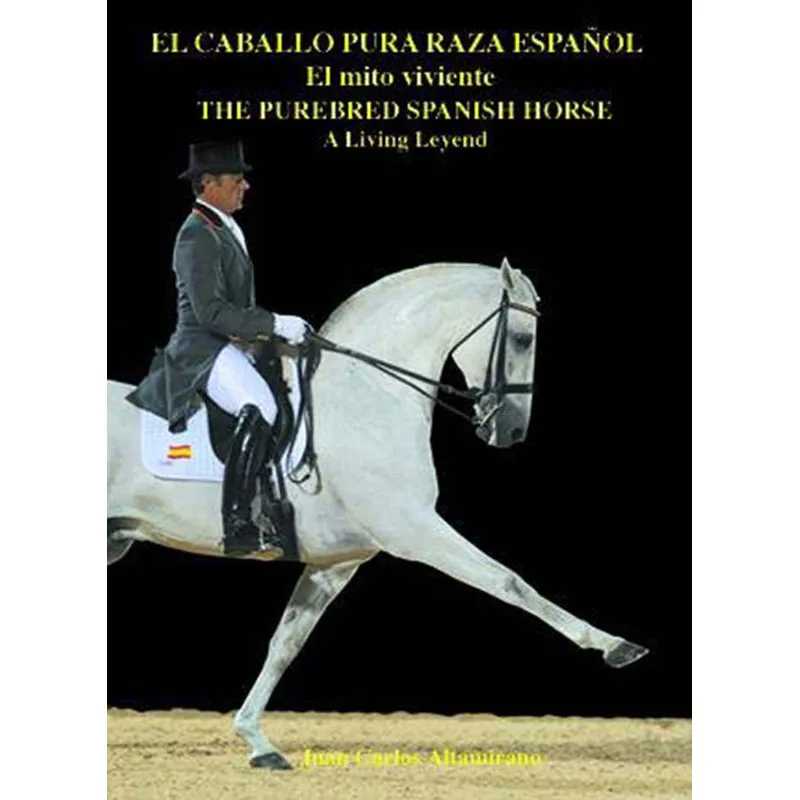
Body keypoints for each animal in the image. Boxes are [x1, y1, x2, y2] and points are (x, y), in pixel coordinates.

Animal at [107, 258, 648, 769]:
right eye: (521, 337)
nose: (512, 431)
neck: (369, 397)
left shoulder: (335, 562)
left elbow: (284, 644)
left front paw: (257, 742)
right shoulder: (415, 531)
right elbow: (510, 582)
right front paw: (612, 645)